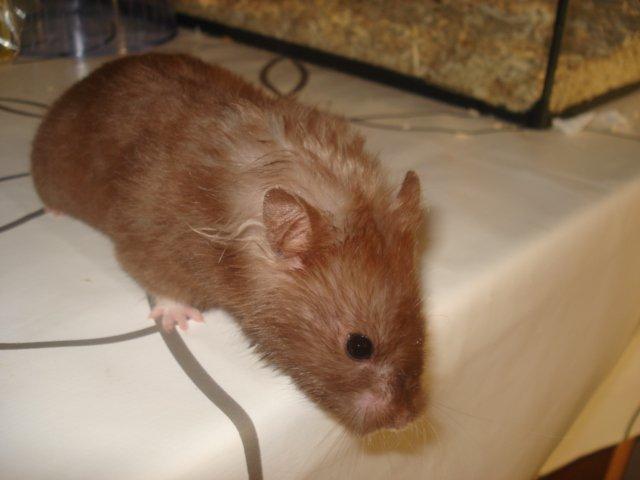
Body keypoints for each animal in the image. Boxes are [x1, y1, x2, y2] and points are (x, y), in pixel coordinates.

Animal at [31, 53, 427, 435]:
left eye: (421, 325)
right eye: (358, 346)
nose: (405, 421)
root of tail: (85, 80)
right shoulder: (148, 239)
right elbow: (159, 282)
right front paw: (183, 320)